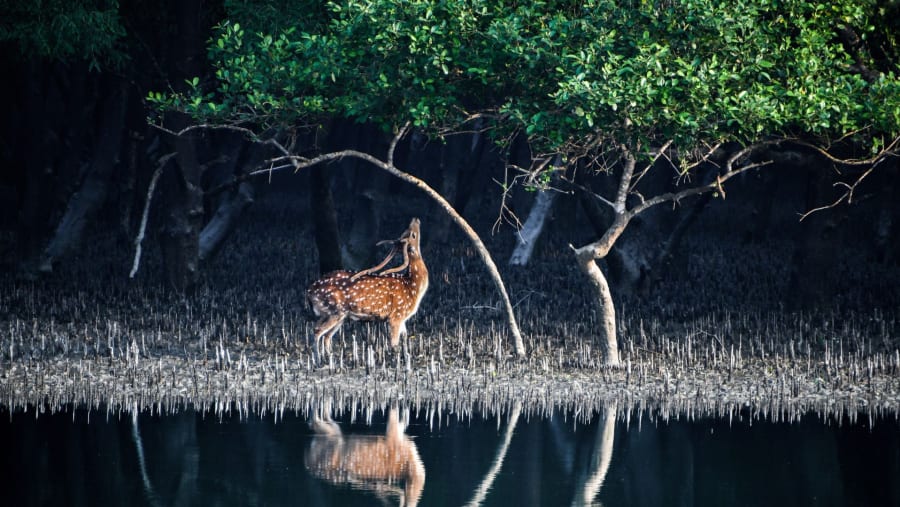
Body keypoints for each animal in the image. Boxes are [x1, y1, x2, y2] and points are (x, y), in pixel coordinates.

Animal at [307, 218, 429, 360]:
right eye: (413, 235)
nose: (415, 219)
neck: (412, 287)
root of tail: (309, 292)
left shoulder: (402, 318)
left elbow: (404, 338)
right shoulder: (396, 315)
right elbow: (394, 345)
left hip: (335, 315)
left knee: (326, 335)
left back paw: (330, 357)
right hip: (335, 310)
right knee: (317, 331)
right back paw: (317, 359)